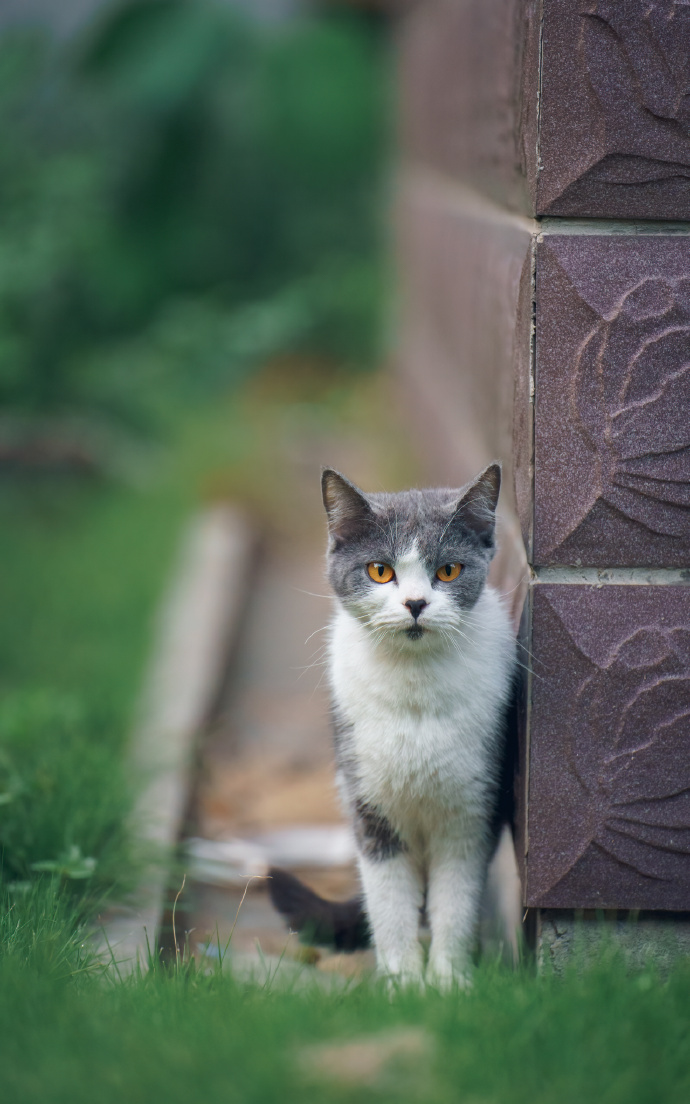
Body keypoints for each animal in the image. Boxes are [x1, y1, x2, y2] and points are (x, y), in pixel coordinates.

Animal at [269, 461, 516, 989]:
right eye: (380, 571)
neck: (414, 684)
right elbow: (388, 902)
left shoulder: (472, 812)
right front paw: (403, 983)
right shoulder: (369, 804)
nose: (416, 604)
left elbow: (455, 901)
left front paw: (449, 983)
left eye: (448, 570)